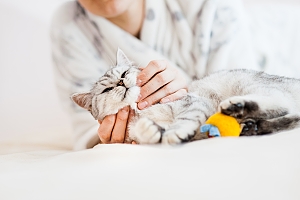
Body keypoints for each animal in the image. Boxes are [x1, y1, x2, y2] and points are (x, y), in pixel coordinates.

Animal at [71, 49, 300, 145]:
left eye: (124, 73)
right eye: (107, 90)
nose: (120, 83)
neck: (141, 111)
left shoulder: (193, 103)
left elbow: (183, 121)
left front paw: (176, 132)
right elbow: (147, 133)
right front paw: (150, 130)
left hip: (249, 85)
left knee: (282, 104)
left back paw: (237, 107)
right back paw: (252, 127)